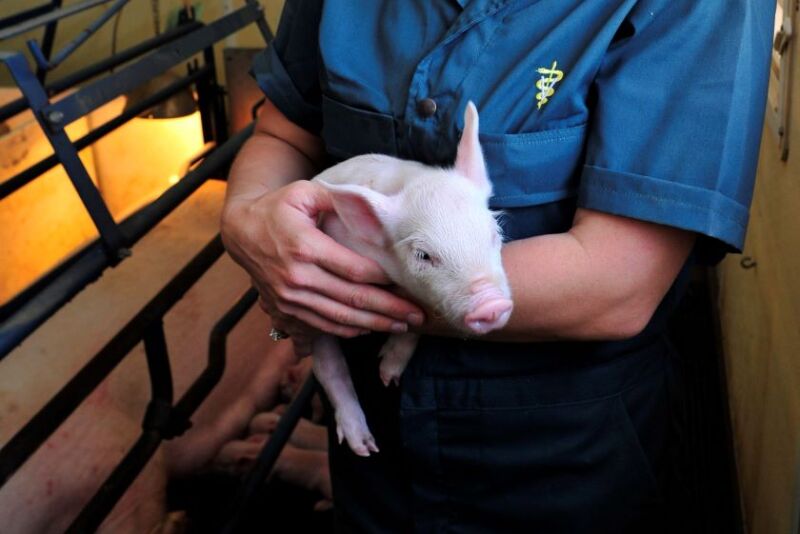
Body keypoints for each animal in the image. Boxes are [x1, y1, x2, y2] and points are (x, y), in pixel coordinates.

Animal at [310, 103, 513, 457]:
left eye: (493, 233)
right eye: (424, 255)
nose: (492, 303)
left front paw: (387, 375)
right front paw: (384, 379)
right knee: (327, 364)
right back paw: (365, 447)